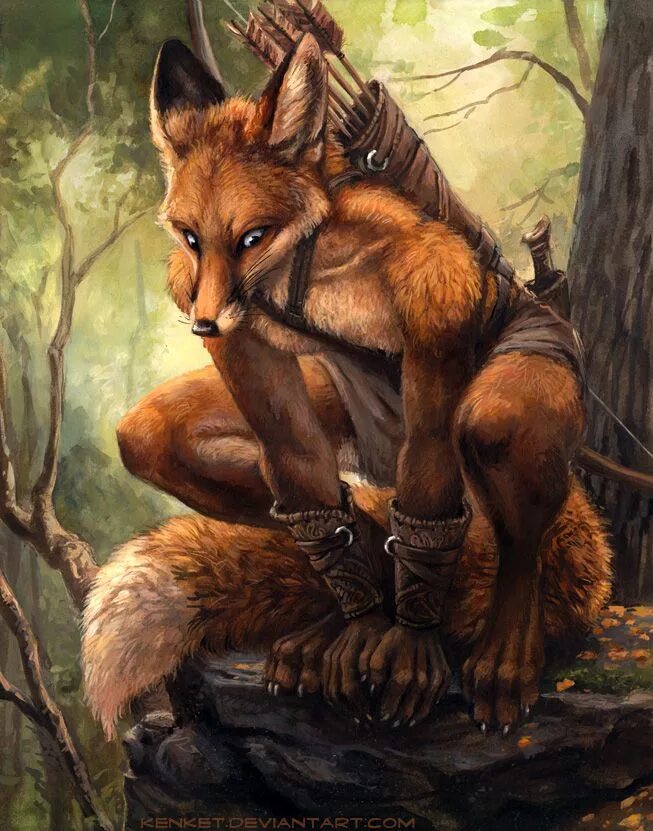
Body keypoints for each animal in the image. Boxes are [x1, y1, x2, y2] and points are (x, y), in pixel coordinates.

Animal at [81, 35, 612, 739]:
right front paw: (363, 623)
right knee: (327, 504)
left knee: (499, 490)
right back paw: (337, 618)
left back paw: (505, 656)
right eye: (192, 238)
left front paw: (409, 643)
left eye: (251, 236)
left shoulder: (434, 289)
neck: (307, 265)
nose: (202, 322)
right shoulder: (227, 321)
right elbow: (307, 484)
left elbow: (429, 500)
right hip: (329, 416)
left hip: (497, 405)